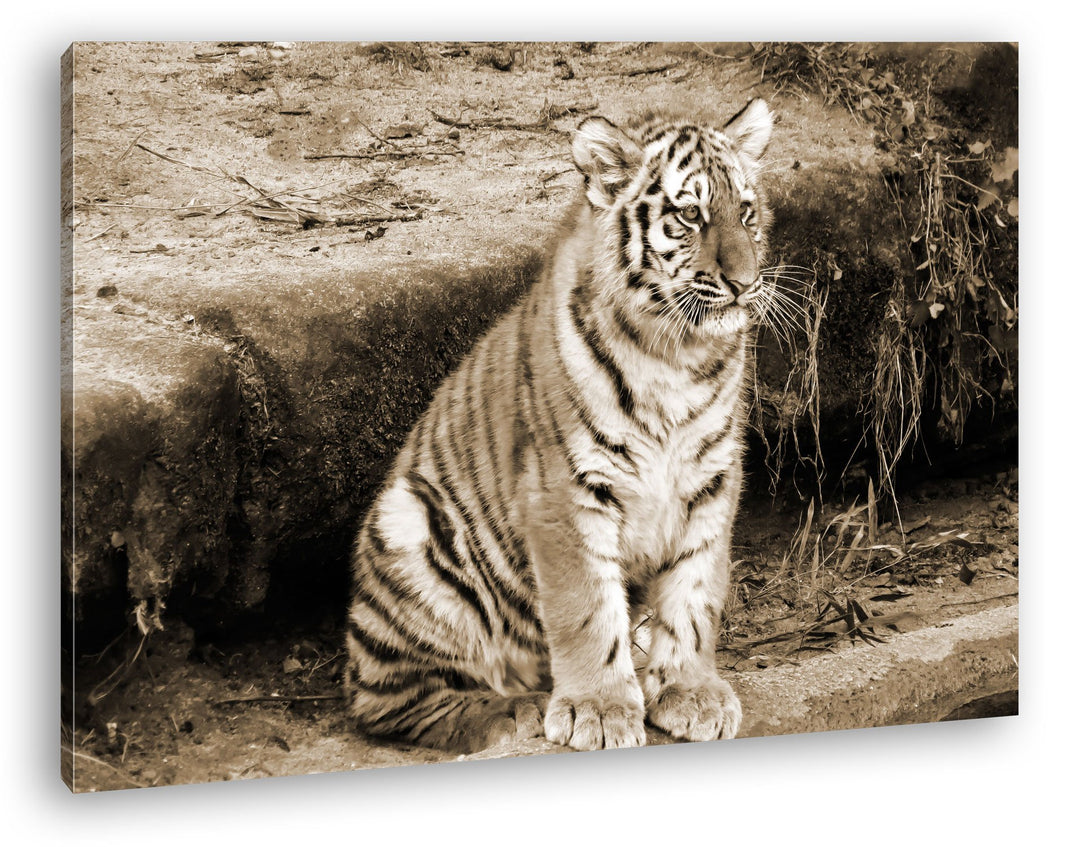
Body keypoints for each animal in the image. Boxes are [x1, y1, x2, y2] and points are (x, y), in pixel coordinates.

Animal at [344, 98, 776, 754]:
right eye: (690, 215)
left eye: (746, 213)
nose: (746, 284)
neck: (676, 354)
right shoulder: (566, 490)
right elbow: (586, 608)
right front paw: (598, 710)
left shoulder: (711, 480)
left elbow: (694, 593)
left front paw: (690, 692)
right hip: (410, 525)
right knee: (388, 699)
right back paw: (510, 712)